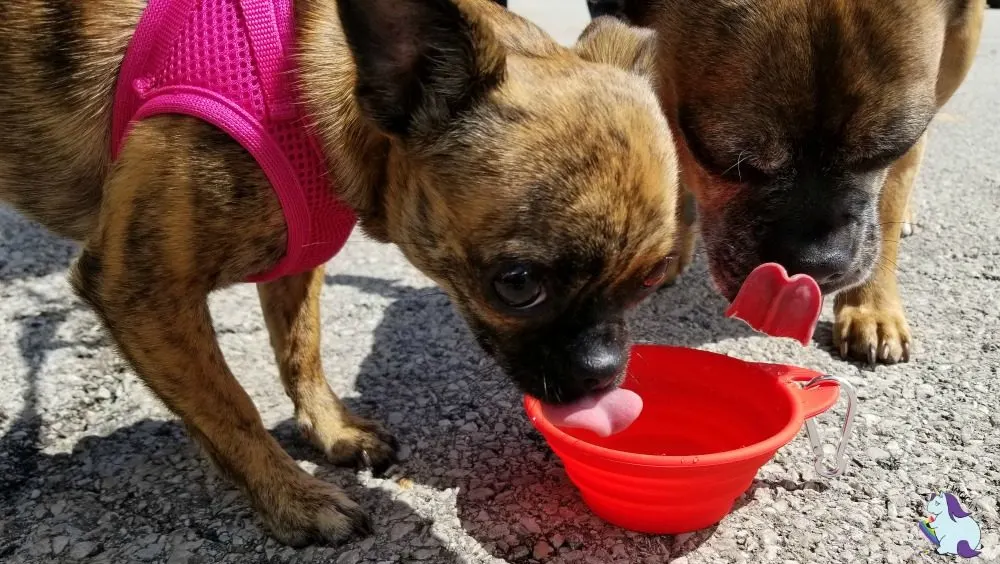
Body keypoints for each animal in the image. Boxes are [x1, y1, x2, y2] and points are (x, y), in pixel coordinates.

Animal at [1, 0, 680, 548]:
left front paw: (331, 432)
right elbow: (230, 408)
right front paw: (294, 499)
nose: (603, 371)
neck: (299, 86)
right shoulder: (141, 293)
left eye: (655, 279)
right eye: (517, 285)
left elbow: (300, 351)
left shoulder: (296, 264)